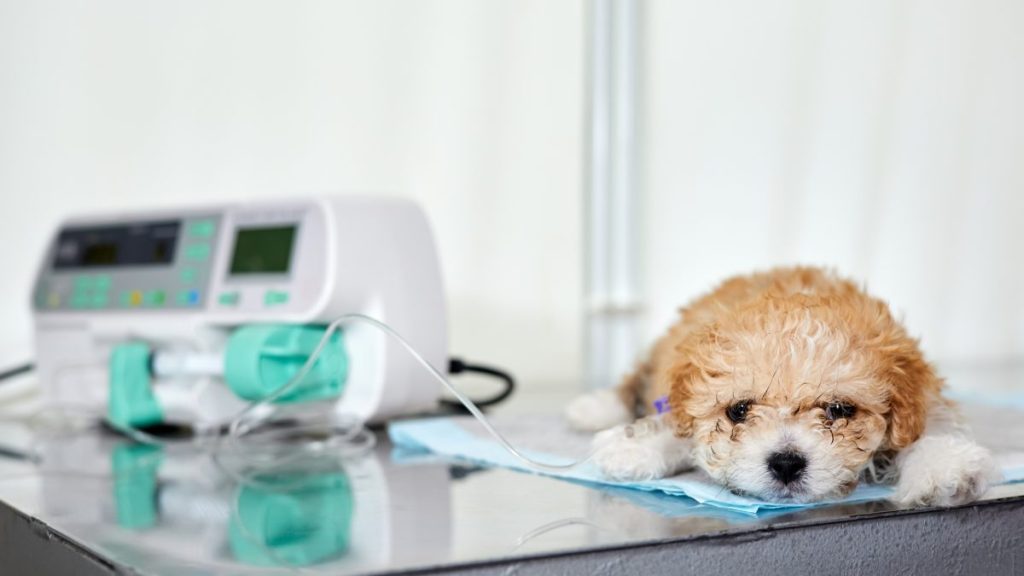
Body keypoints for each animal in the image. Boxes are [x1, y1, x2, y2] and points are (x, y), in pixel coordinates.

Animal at [565, 264, 995, 502]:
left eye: (838, 410)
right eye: (739, 411)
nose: (786, 463)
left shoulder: (922, 392)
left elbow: (931, 424)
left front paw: (943, 466)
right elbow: (679, 424)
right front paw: (635, 446)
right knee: (634, 381)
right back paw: (593, 408)